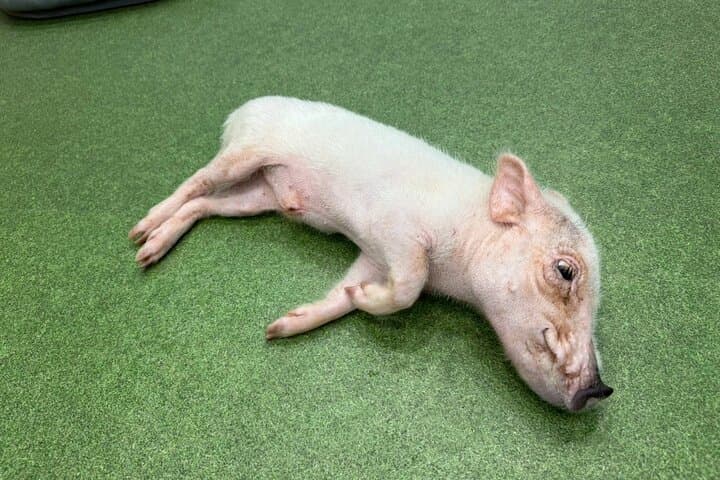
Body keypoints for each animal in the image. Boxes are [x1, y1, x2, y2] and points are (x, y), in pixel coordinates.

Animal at [129, 96, 613, 411]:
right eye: (566, 271)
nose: (600, 390)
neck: (456, 273)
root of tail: (242, 109)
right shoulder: (394, 231)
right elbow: (409, 285)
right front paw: (363, 299)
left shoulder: (374, 256)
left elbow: (341, 294)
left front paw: (281, 327)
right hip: (244, 153)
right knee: (197, 182)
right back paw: (139, 237)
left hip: (258, 196)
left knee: (205, 206)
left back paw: (151, 252)